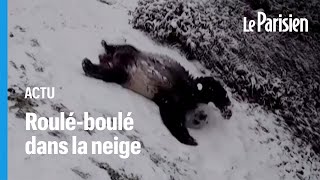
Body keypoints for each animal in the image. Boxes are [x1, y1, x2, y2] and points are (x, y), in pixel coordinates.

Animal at [81, 40, 231, 146]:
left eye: (199, 122)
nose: (201, 116)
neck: (187, 104)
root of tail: (107, 58)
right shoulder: (189, 90)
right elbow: (208, 86)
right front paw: (226, 109)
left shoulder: (167, 101)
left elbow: (171, 118)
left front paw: (189, 138)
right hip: (133, 53)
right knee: (122, 48)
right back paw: (101, 50)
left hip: (124, 74)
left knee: (112, 73)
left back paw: (90, 65)